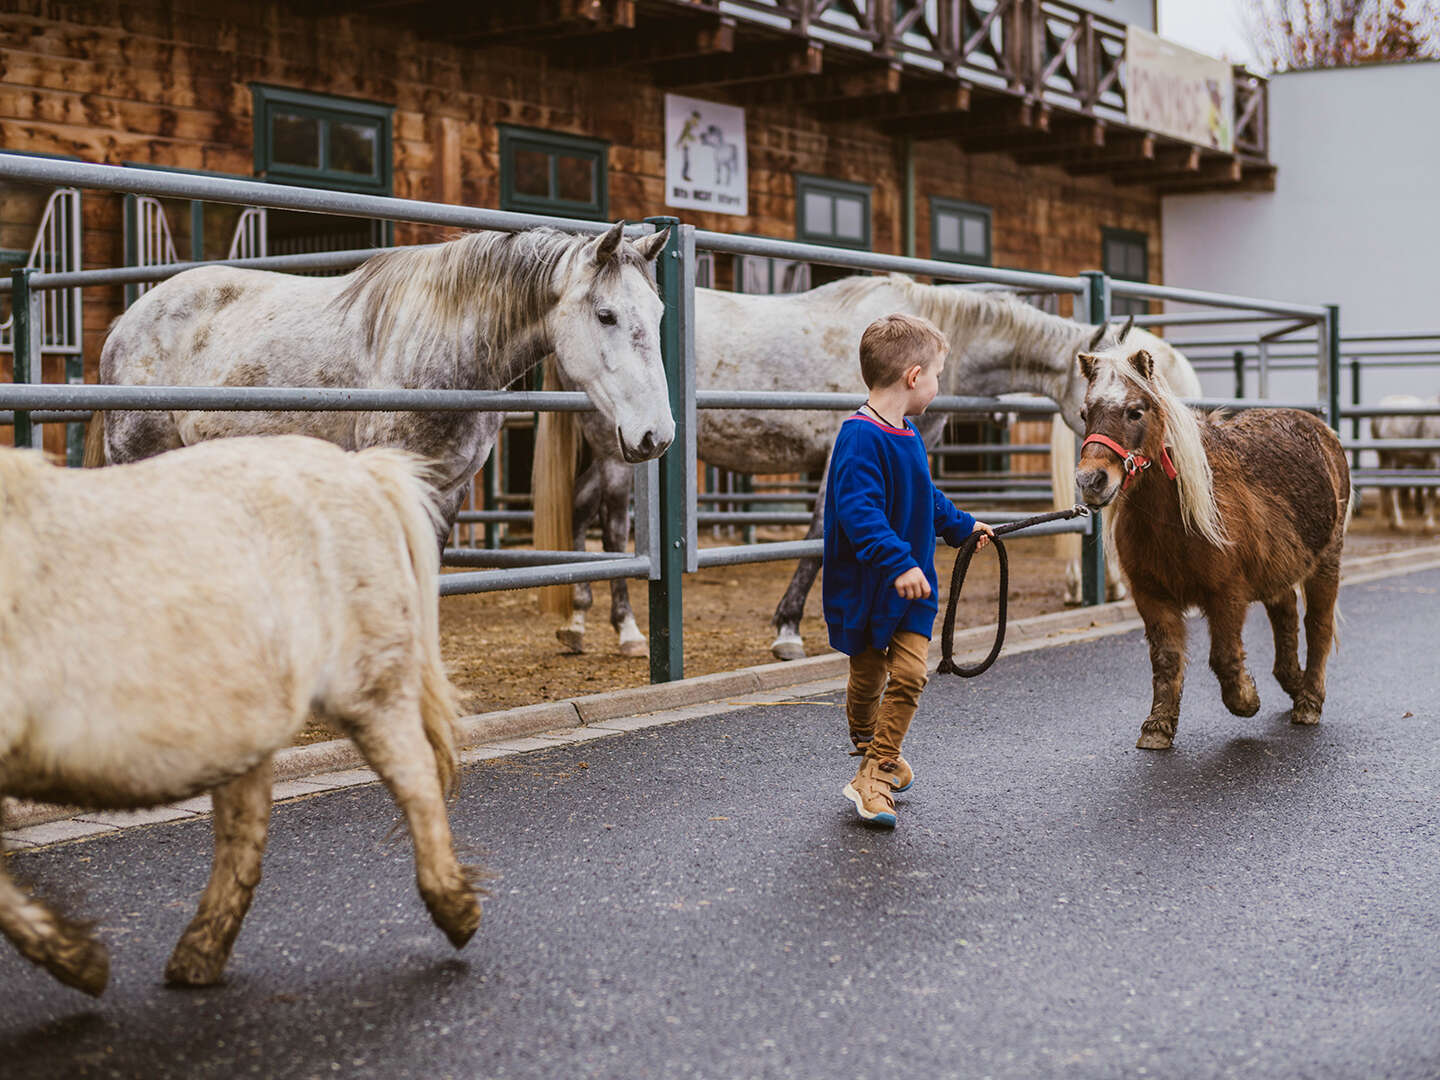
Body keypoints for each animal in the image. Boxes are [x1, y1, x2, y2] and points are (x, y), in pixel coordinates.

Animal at [0, 434, 483, 996]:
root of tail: (360, 469)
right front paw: (77, 958)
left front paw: (79, 963)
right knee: (244, 826)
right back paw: (197, 957)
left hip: (371, 688)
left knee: (416, 781)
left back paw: (456, 911)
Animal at [535, 272, 1198, 659]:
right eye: (1101, 395)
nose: (1096, 478)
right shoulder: (841, 452)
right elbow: (820, 532)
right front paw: (788, 629)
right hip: (625, 444)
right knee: (612, 519)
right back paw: (625, 629)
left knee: (584, 508)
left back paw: (578, 621)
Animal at [1082, 347, 1347, 754]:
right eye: (1085, 413)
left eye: (1135, 411)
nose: (1090, 481)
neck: (1175, 516)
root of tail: (1321, 430)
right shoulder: (1150, 595)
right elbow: (1166, 658)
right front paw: (1158, 727)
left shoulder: (1227, 595)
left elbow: (1223, 656)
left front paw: (1246, 699)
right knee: (1285, 611)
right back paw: (1293, 681)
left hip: (1326, 562)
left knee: (1318, 624)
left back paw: (1308, 701)